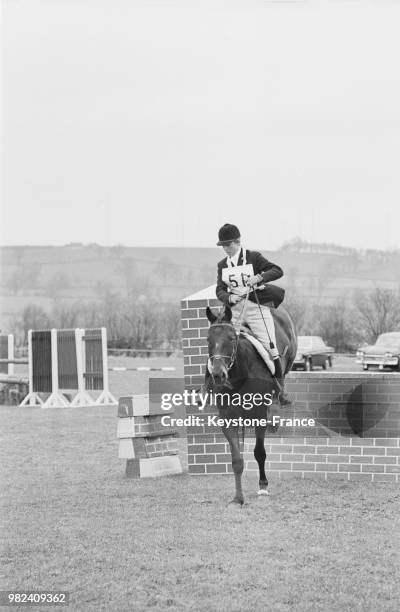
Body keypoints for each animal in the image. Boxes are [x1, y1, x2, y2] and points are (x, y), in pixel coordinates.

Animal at [206, 304, 296, 504]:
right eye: (208, 339)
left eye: (231, 338)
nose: (218, 375)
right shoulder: (227, 419)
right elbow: (237, 461)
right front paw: (238, 498)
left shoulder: (259, 415)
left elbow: (259, 452)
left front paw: (263, 486)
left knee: (281, 379)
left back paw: (276, 414)